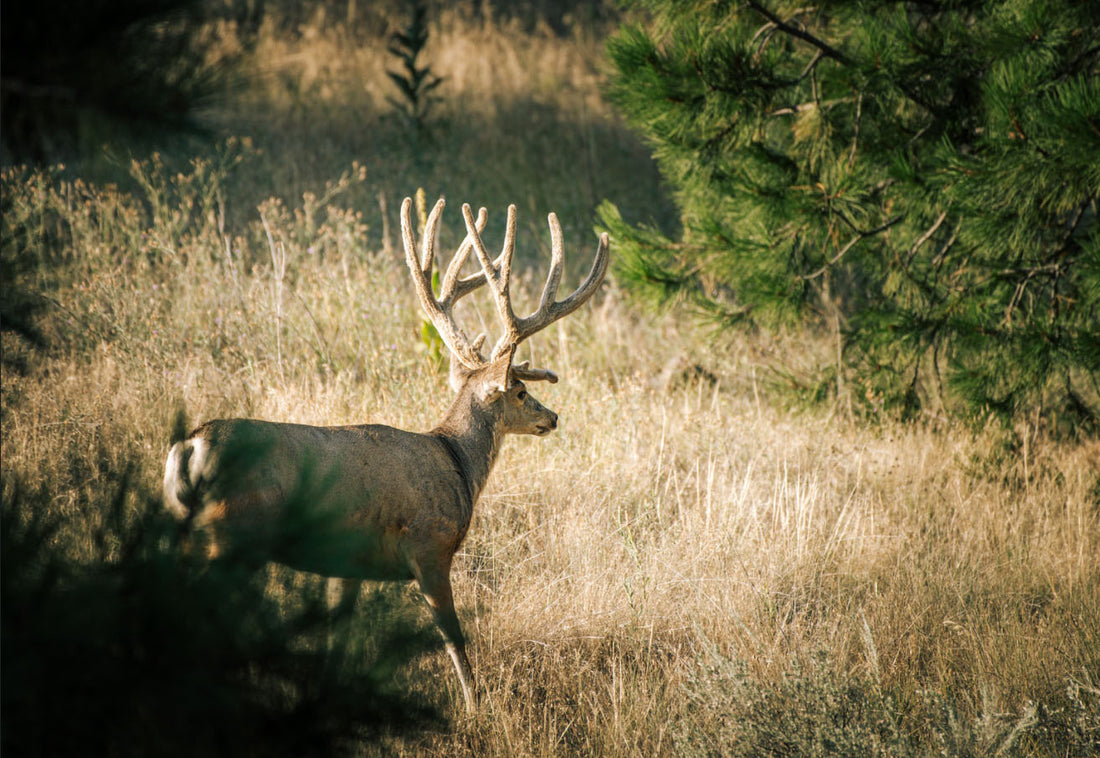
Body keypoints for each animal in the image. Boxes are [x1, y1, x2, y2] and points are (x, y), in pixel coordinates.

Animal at [162, 195, 609, 715]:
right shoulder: (430, 546)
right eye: (519, 391)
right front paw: (476, 706)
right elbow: (454, 638)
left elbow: (337, 637)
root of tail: (190, 445)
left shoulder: (345, 562)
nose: (552, 416)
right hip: (231, 533)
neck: (456, 461)